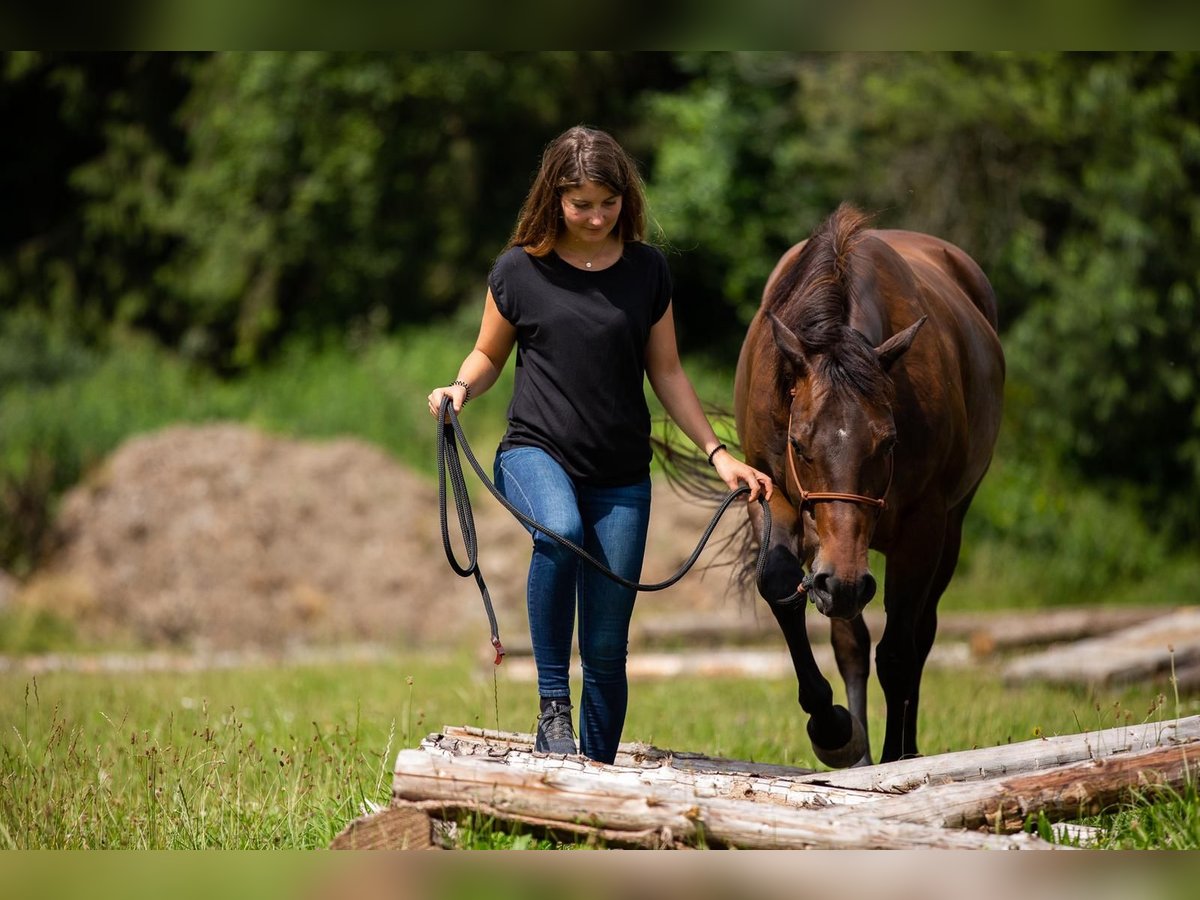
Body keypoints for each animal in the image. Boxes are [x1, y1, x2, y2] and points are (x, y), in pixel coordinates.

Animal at [734, 203, 1005, 767]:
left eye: (888, 442)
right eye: (798, 443)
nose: (843, 583)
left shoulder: (924, 527)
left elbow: (899, 649)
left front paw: (895, 755)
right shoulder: (773, 497)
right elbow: (782, 589)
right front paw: (834, 728)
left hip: (946, 529)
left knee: (919, 636)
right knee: (852, 641)